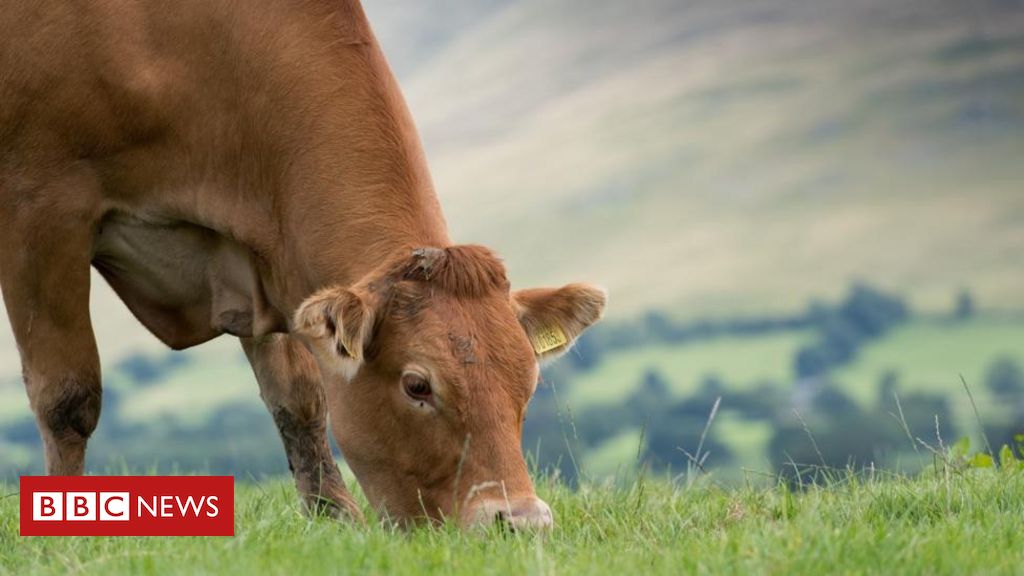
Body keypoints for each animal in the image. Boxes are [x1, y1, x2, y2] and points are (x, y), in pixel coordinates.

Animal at [0, 1, 602, 528]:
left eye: (528, 382)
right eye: (417, 386)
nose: (521, 522)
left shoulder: (261, 254)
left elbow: (300, 399)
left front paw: (336, 518)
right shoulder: (40, 208)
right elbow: (67, 395)